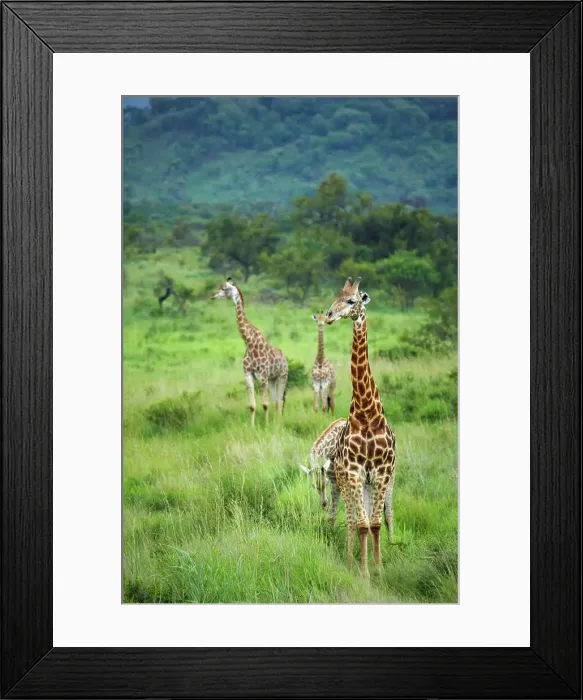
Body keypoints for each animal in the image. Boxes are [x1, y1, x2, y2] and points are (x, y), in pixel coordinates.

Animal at [210, 278, 288, 426]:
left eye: (224, 288)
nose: (212, 295)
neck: (249, 342)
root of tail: (285, 357)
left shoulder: (263, 375)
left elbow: (265, 404)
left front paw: (266, 425)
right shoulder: (248, 375)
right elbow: (252, 405)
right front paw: (252, 427)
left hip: (282, 376)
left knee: (280, 400)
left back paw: (279, 423)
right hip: (273, 379)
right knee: (276, 400)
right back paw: (277, 422)